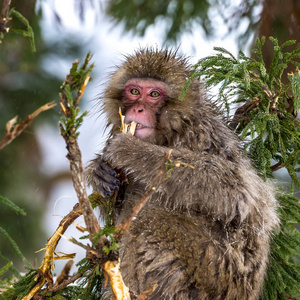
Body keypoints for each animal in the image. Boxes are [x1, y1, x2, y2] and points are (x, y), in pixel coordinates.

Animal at [86, 48, 278, 300]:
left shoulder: (203, 134)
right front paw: (99, 171)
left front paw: (132, 151)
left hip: (214, 270)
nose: (138, 109)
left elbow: (236, 192)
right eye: (134, 91)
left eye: (154, 94)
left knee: (151, 222)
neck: (169, 133)